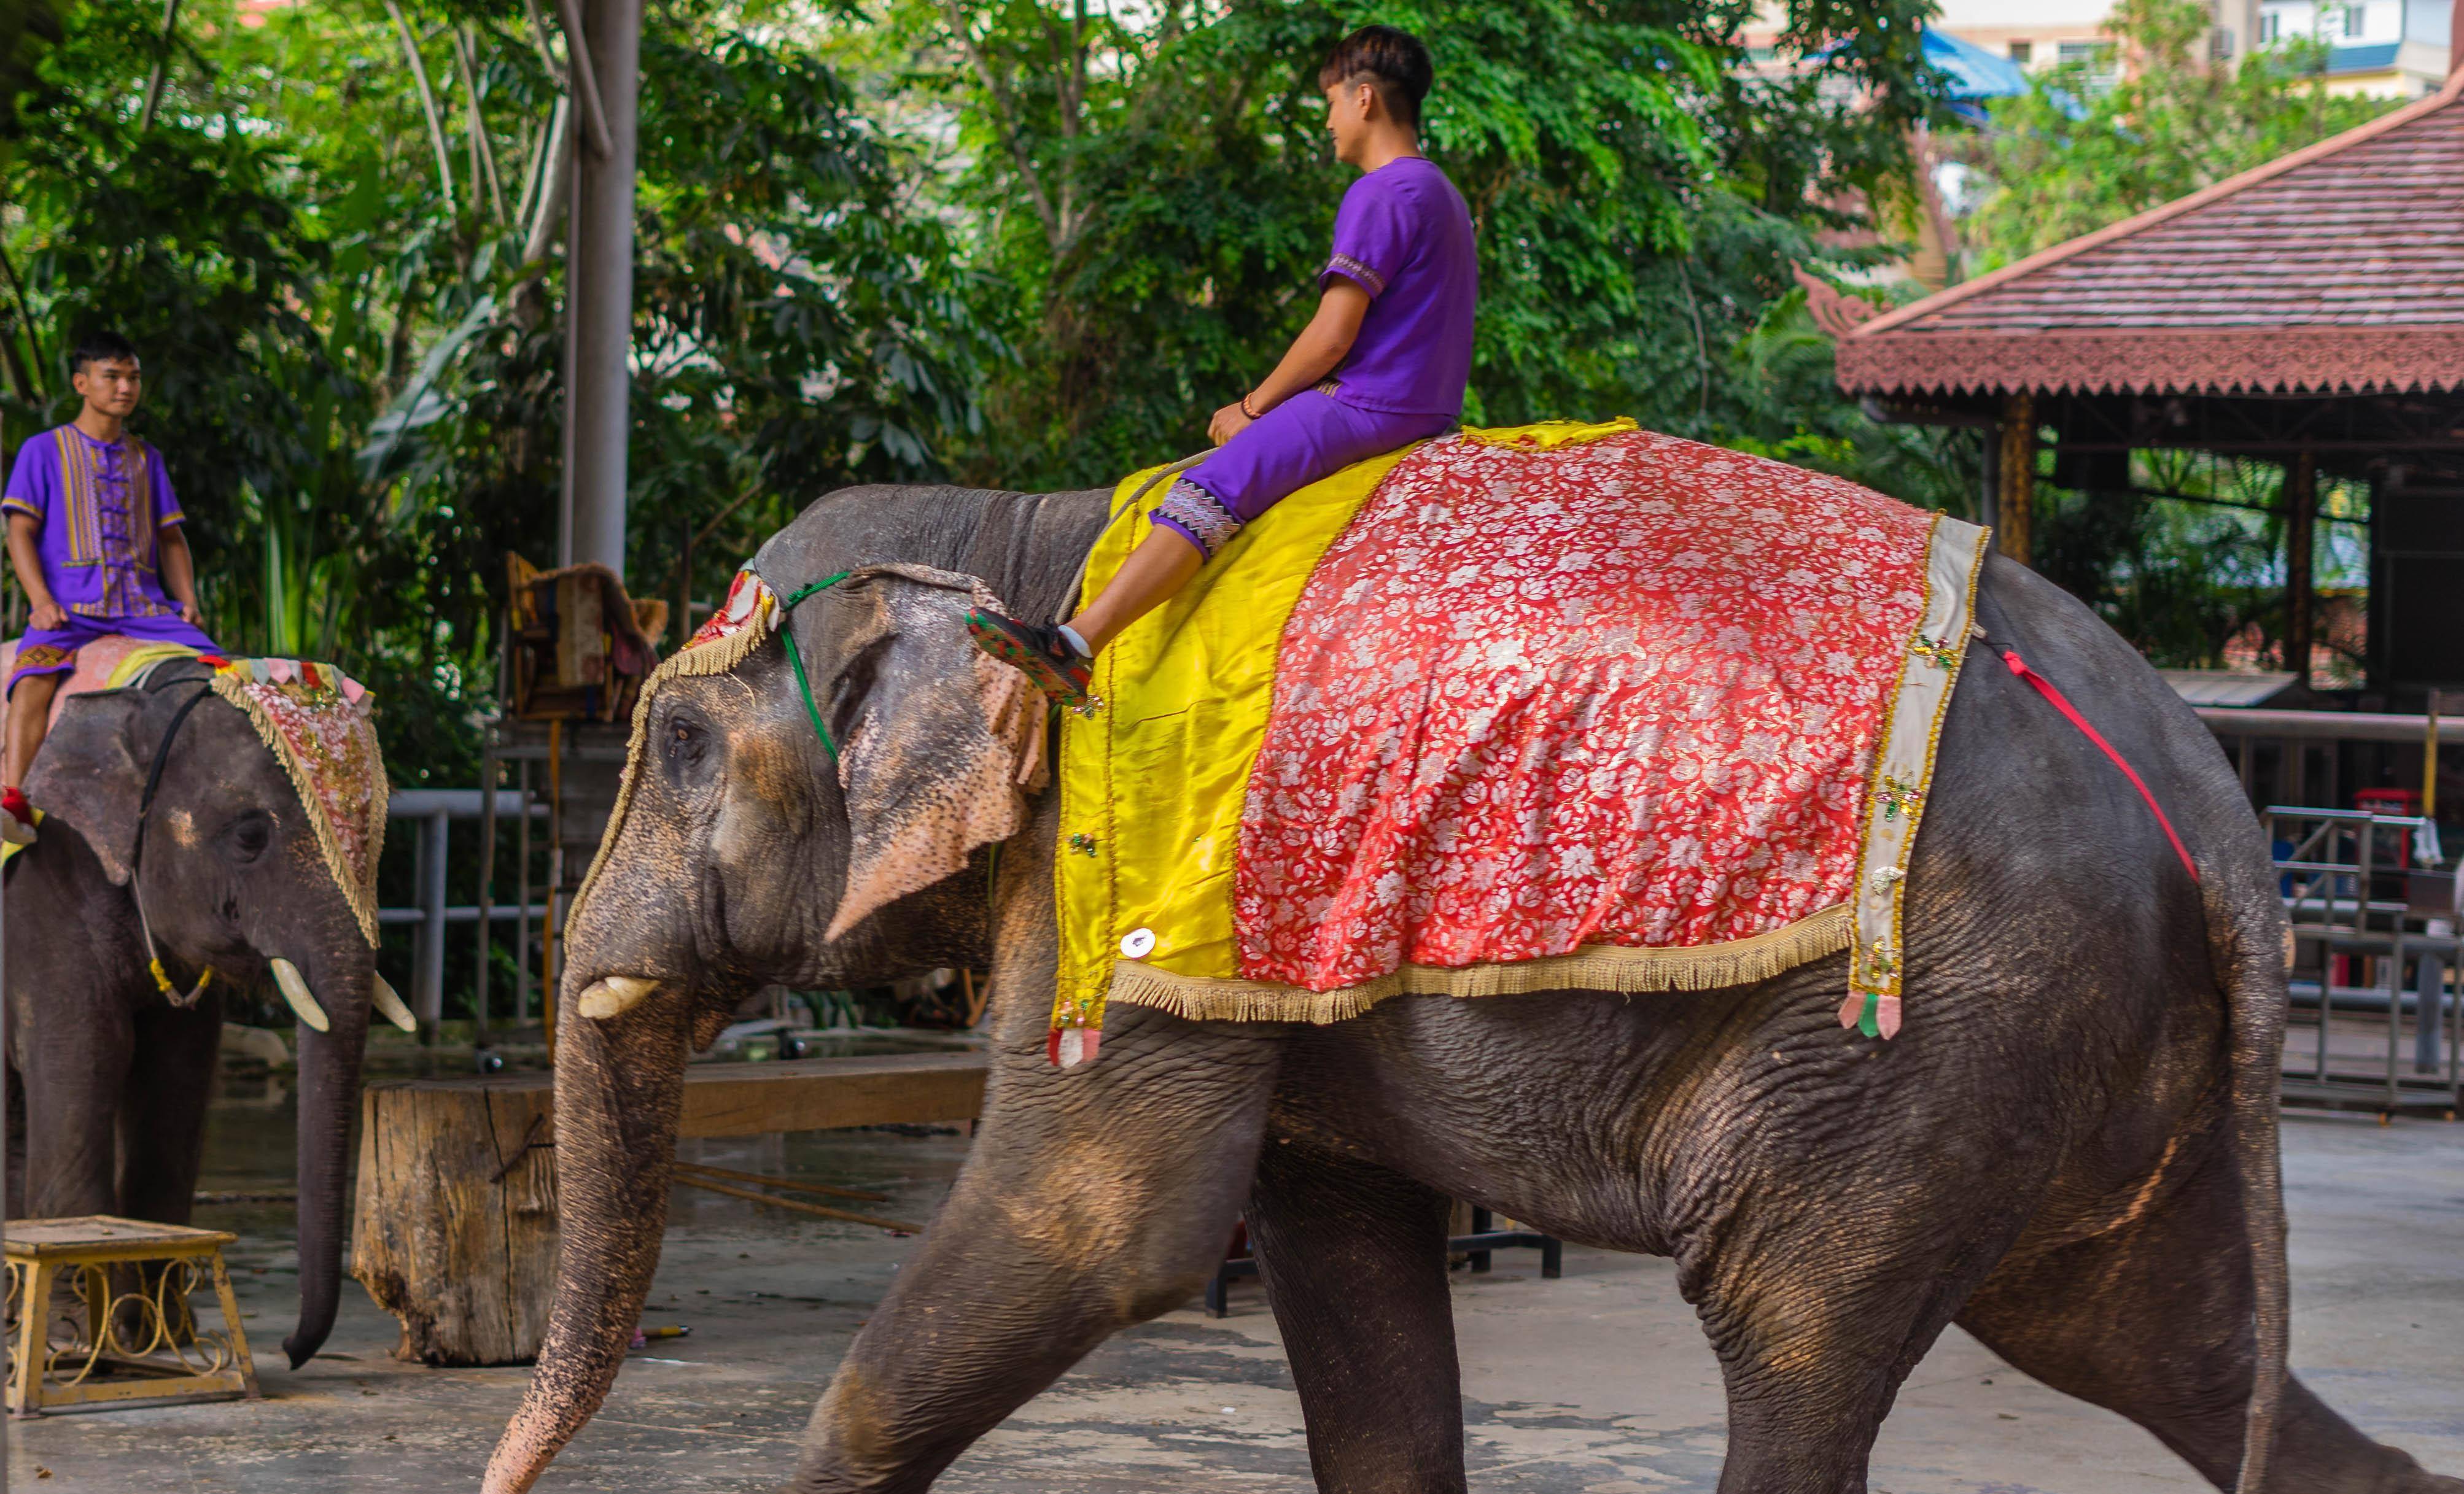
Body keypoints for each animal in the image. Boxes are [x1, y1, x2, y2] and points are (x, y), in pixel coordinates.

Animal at [3, 659, 404, 1378]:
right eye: (249, 836)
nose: (290, 1351)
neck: (150, 691)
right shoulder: (47, 879)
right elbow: (85, 1054)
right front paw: (73, 1348)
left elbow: (176, 1074)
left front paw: (166, 1340)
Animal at [485, 482, 2464, 1494]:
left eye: (676, 744)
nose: (505, 1478)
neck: (1031, 544)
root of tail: (2212, 783)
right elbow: (1340, 1266)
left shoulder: (1133, 880)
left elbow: (1108, 1227)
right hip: (2083, 1045)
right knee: (2151, 1335)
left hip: (1936, 1033)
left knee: (1797, 1326)